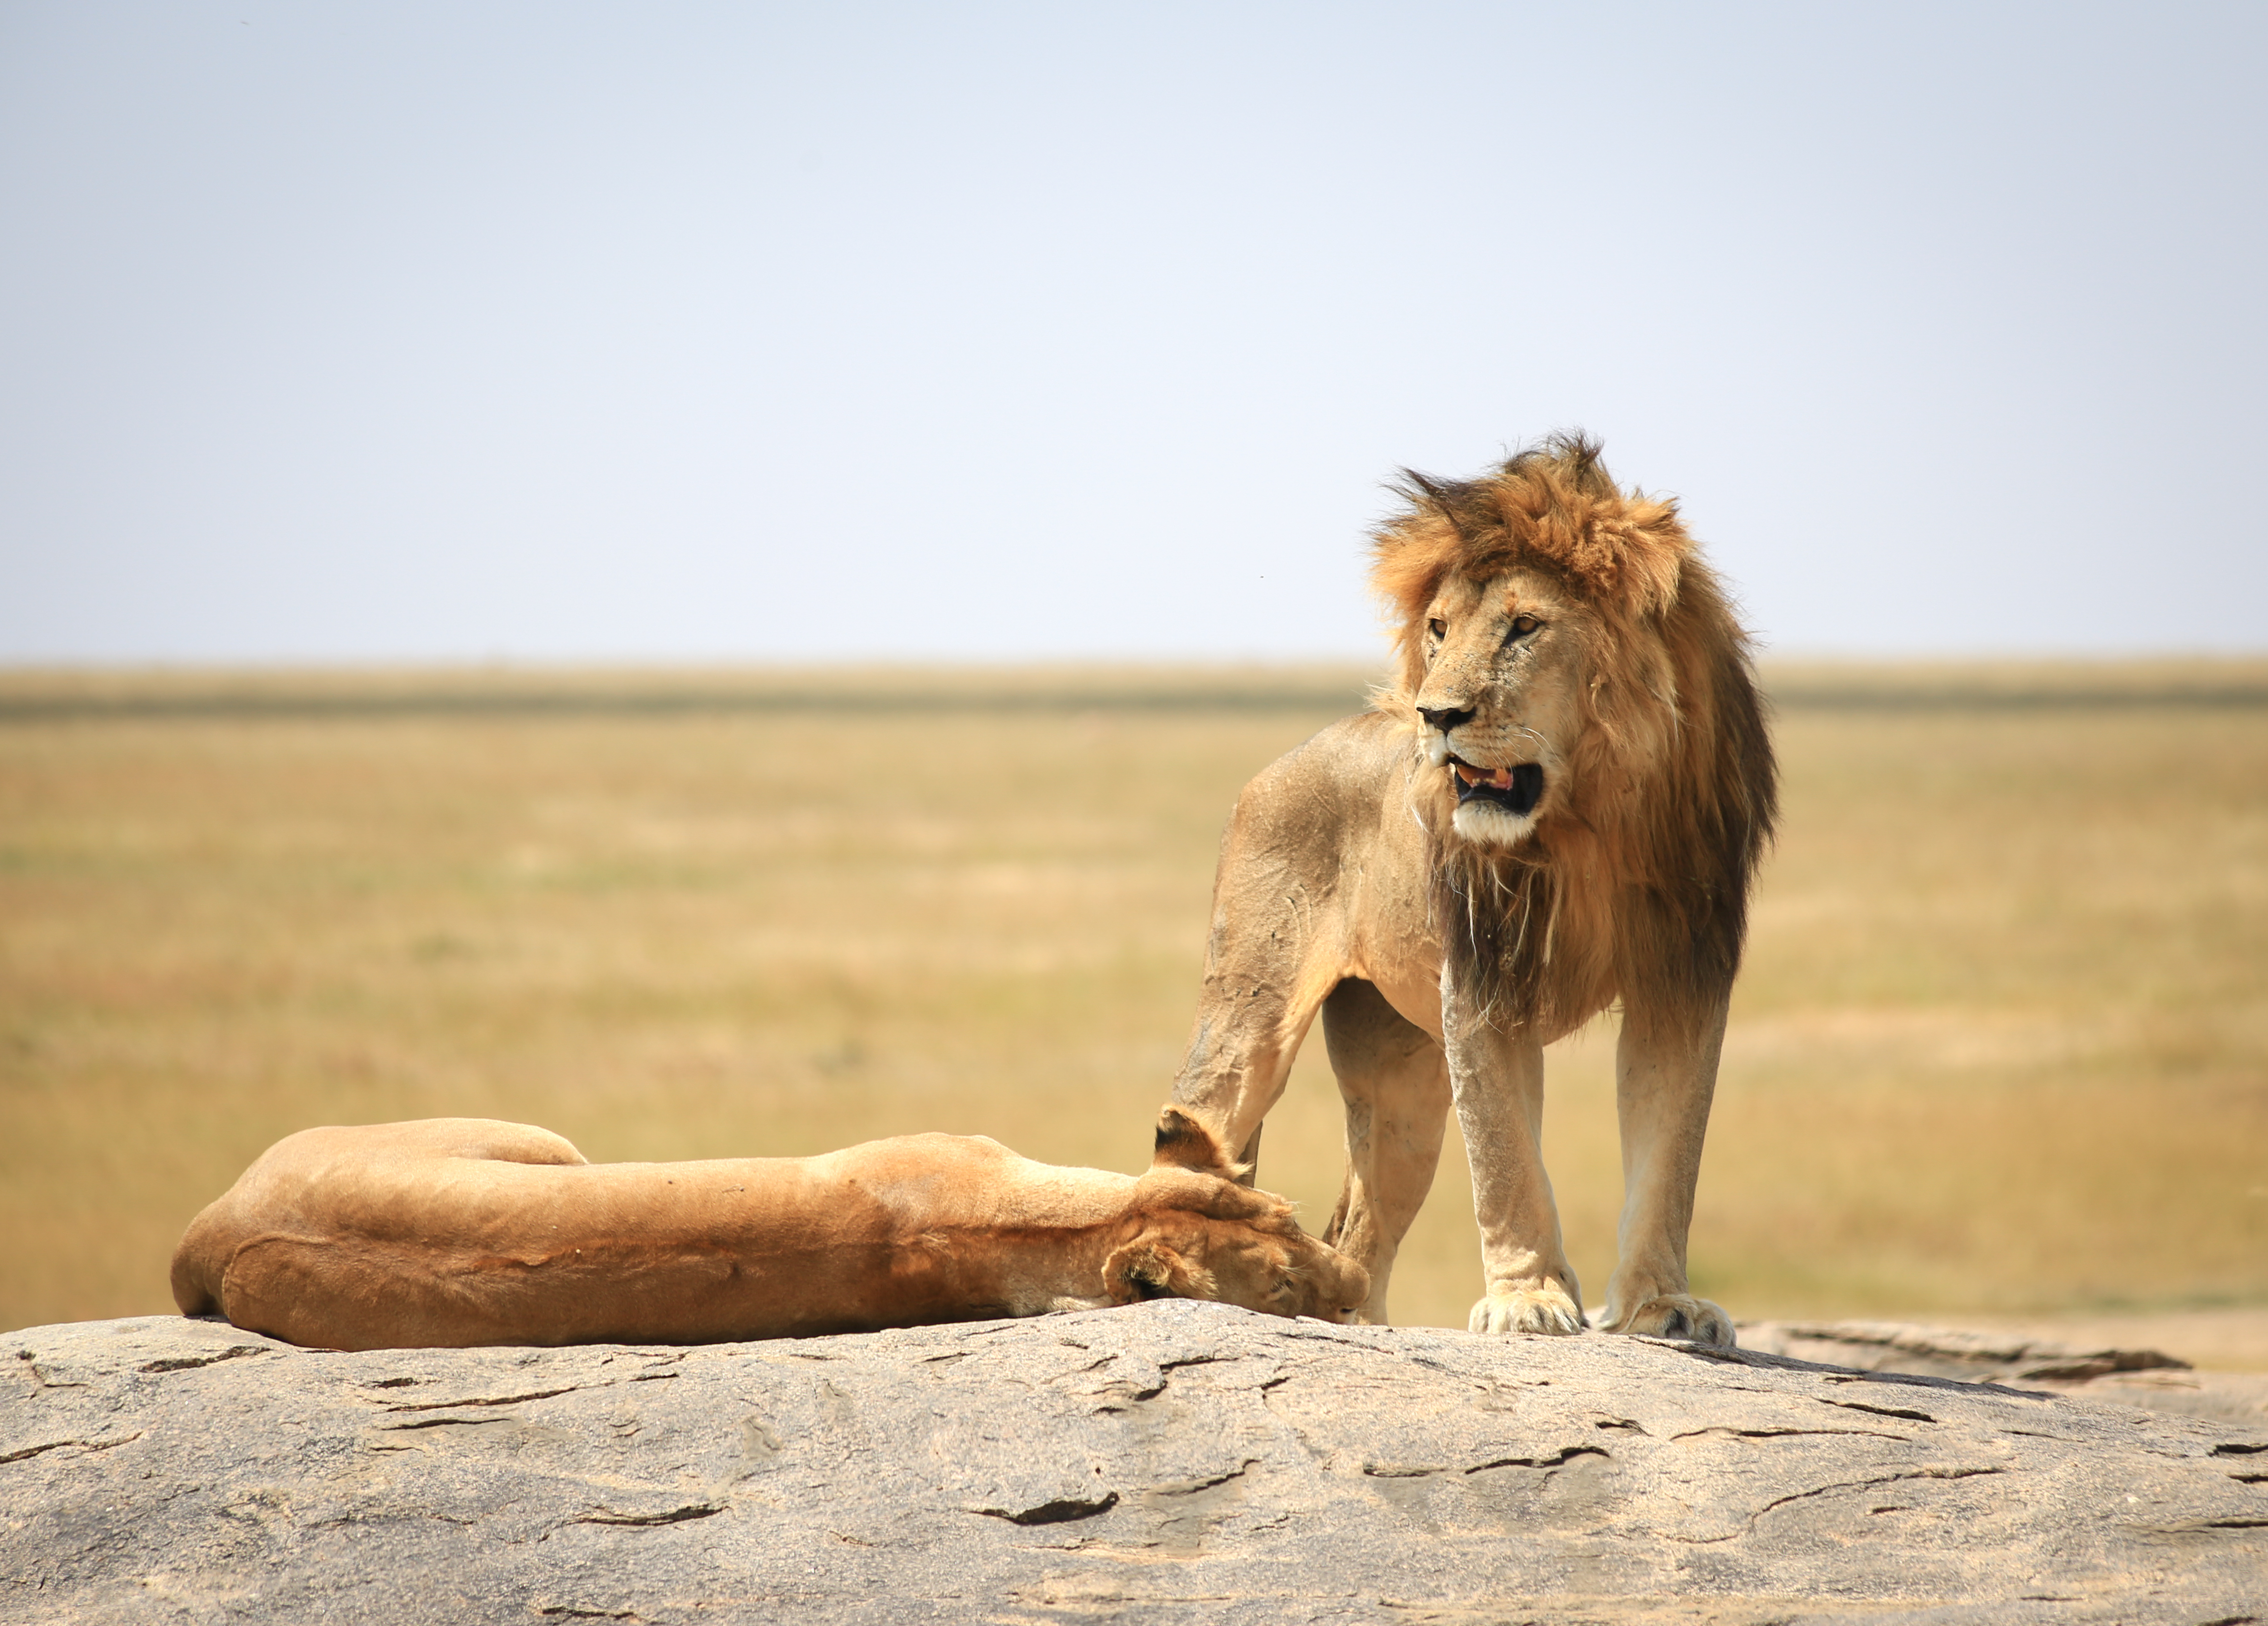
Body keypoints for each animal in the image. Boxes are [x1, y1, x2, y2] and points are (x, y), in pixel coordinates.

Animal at [1170, 434, 1776, 1344]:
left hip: (1405, 1081)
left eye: (1524, 627)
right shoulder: (1486, 982)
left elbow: (1670, 1154)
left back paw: (1365, 1327)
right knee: (1194, 1134)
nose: (1435, 715)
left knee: (1357, 1229)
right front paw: (1528, 1300)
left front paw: (1661, 1305)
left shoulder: (1682, 977)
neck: (1586, 826)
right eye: (1438, 628)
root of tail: (1285, 758)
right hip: (1248, 1024)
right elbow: (1505, 1160)